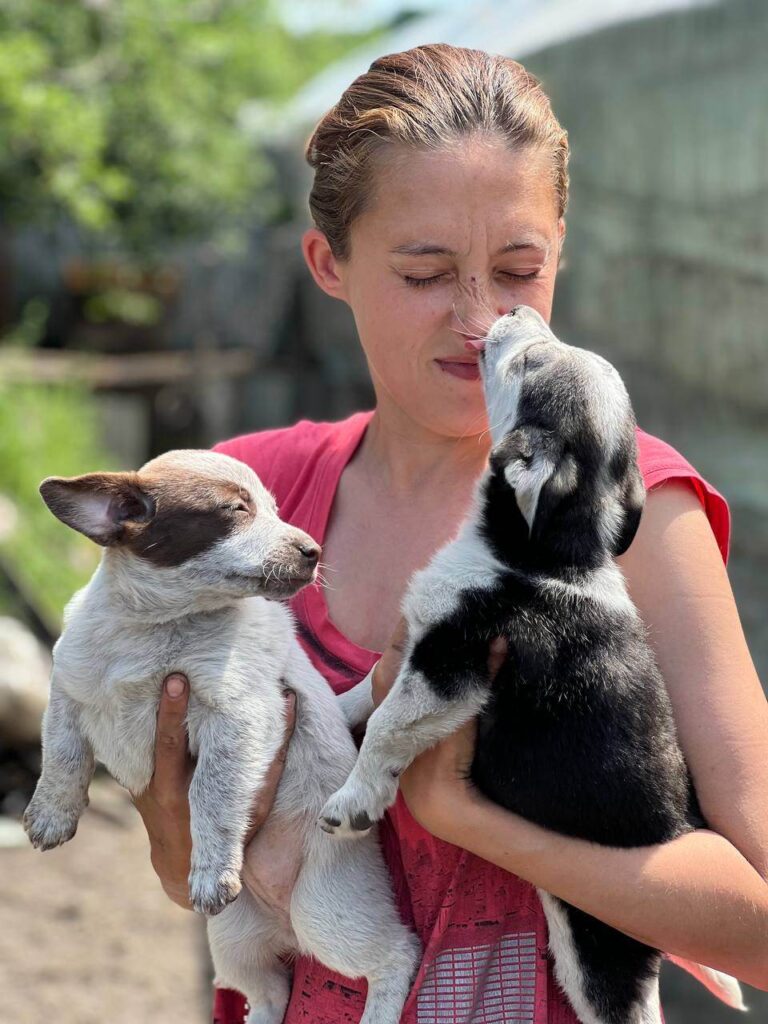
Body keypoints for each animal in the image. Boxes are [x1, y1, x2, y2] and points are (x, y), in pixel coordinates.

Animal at [24, 452, 417, 1024]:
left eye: (275, 510)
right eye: (238, 510)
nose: (313, 551)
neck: (152, 627)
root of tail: (285, 929)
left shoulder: (238, 717)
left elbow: (211, 795)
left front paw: (212, 869)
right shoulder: (69, 683)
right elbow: (61, 752)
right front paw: (51, 815)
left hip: (327, 914)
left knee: (398, 954)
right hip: (233, 944)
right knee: (271, 990)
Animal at [319, 305, 745, 1024]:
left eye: (526, 363)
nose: (518, 310)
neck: (545, 552)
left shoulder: (447, 667)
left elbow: (383, 729)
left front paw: (354, 798)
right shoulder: (416, 650)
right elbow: (365, 695)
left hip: (600, 957)